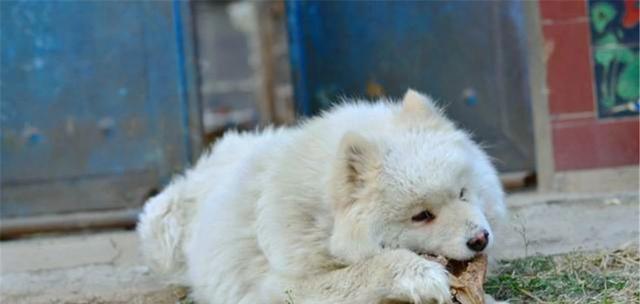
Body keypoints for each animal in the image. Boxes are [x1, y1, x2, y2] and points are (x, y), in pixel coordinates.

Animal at [139, 90, 504, 304]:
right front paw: (420, 277)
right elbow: (363, 271)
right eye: (422, 215)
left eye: (462, 193)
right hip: (161, 225)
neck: (323, 222)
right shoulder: (279, 286)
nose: (480, 239)